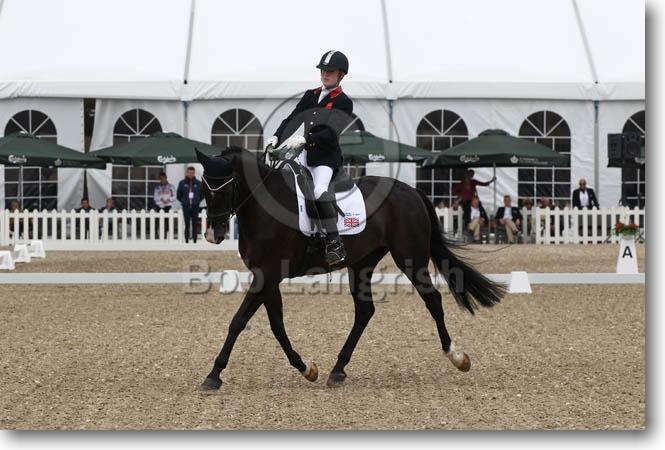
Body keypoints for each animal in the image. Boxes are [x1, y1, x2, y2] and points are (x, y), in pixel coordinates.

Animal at [196, 147, 506, 391]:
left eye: (227, 186)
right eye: (204, 187)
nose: (213, 235)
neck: (263, 207)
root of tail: (411, 191)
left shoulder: (268, 275)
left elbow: (238, 321)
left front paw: (213, 375)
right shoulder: (267, 277)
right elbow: (277, 325)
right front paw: (307, 368)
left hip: (410, 258)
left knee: (433, 300)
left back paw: (457, 357)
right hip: (362, 263)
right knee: (365, 311)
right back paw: (337, 369)